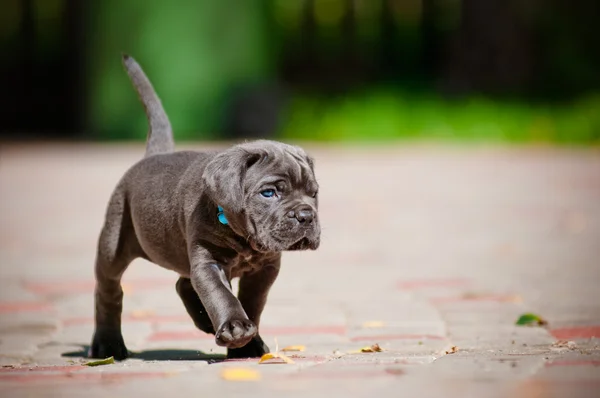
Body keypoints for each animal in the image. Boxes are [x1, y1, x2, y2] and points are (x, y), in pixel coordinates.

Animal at [89, 54, 322, 362]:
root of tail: (154, 154)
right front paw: (236, 328)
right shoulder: (207, 261)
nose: (306, 216)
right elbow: (221, 294)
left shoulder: (265, 269)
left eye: (313, 194)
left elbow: (251, 302)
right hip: (113, 243)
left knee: (183, 284)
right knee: (109, 291)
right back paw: (108, 345)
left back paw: (204, 321)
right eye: (269, 193)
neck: (242, 238)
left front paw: (246, 342)